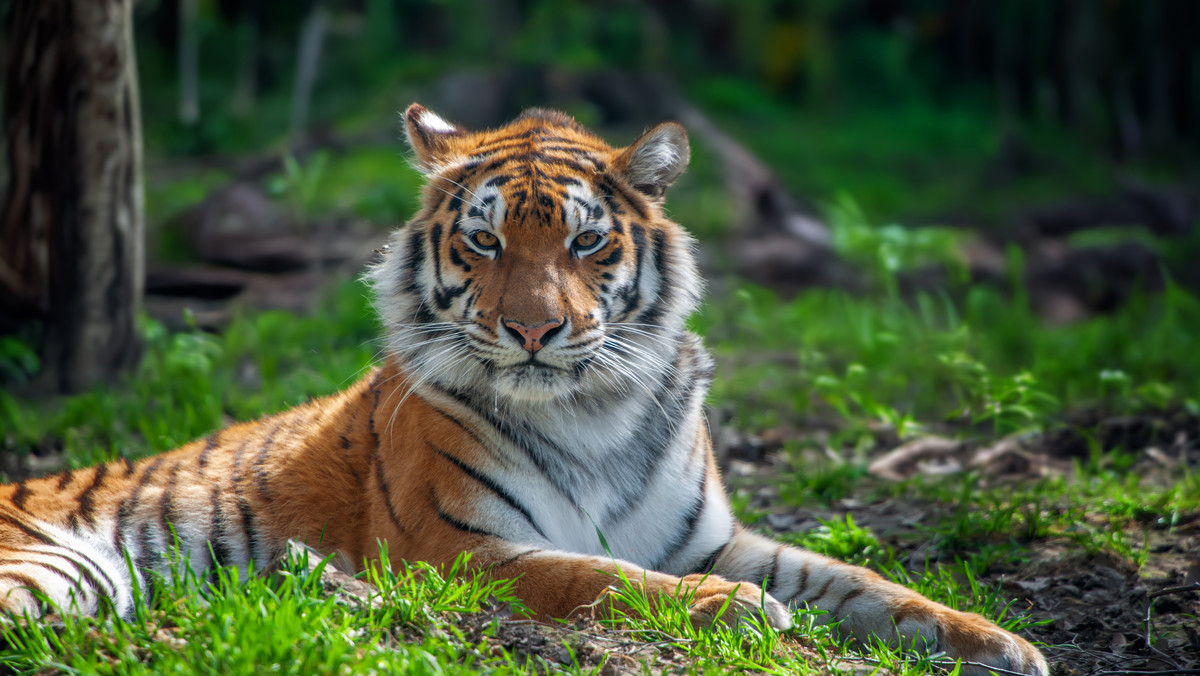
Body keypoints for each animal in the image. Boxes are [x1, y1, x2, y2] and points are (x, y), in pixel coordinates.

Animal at [0, 103, 1046, 672]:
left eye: (585, 240)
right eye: (485, 240)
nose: (535, 330)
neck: (593, 411)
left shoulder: (710, 535)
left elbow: (861, 581)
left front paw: (998, 642)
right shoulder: (455, 548)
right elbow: (598, 577)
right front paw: (733, 608)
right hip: (48, 575)